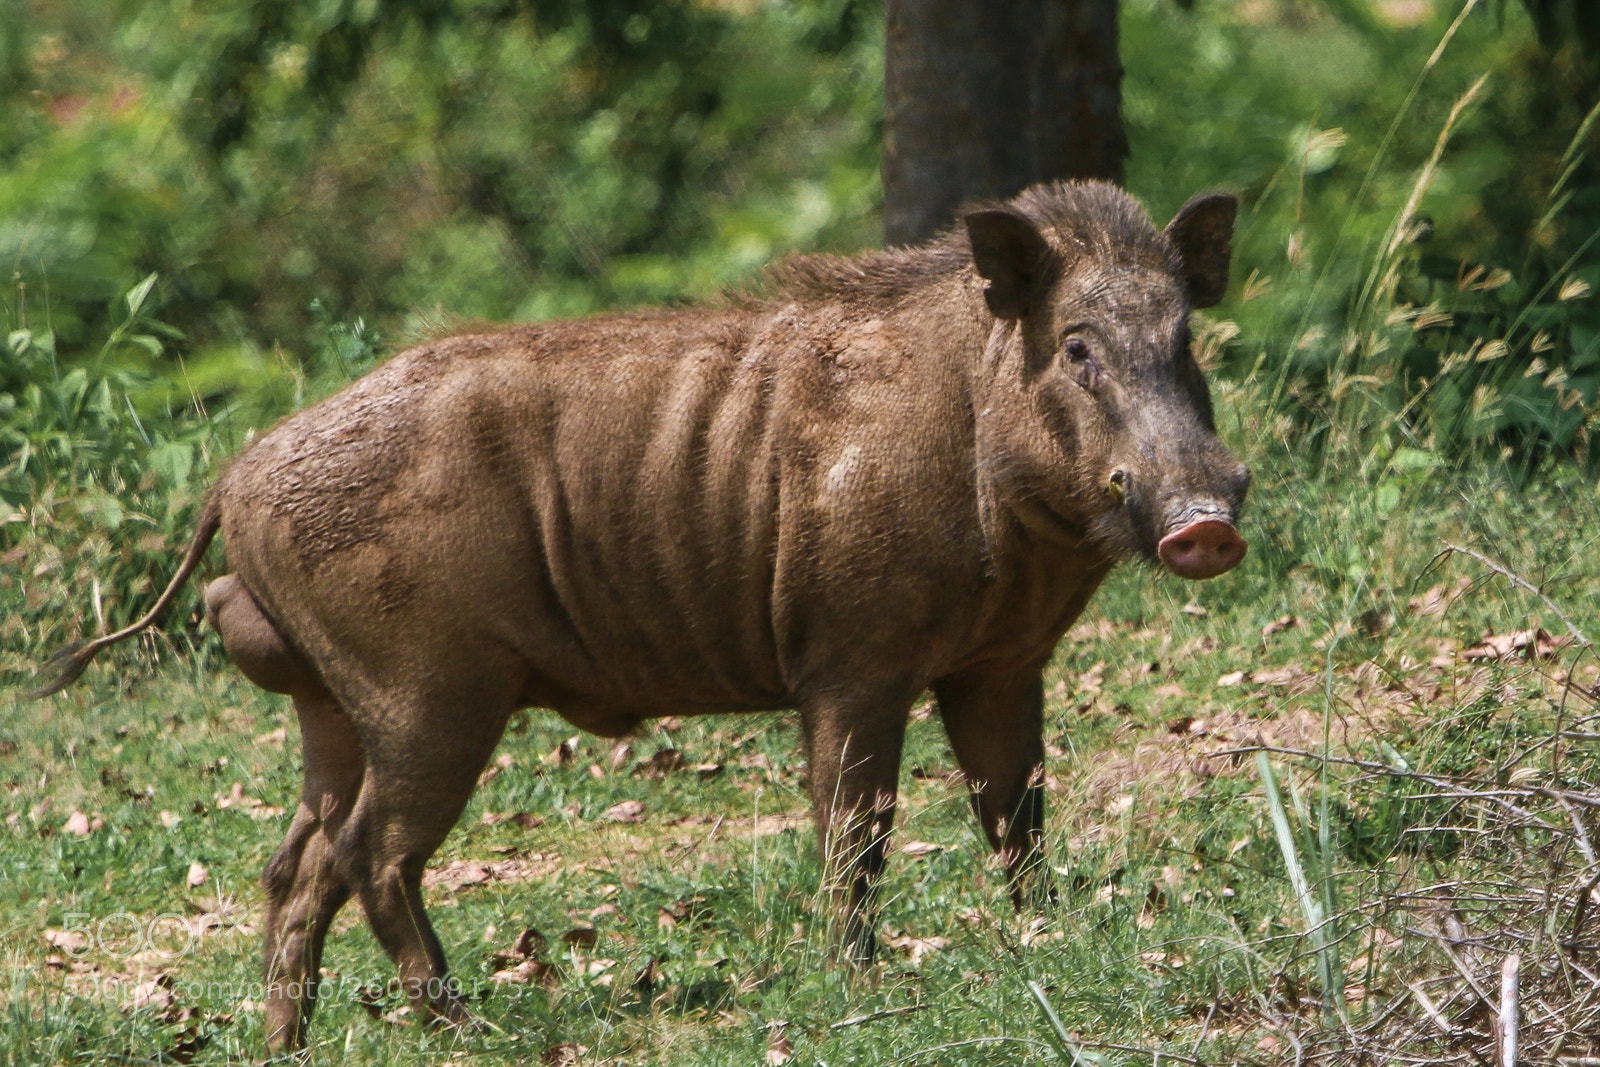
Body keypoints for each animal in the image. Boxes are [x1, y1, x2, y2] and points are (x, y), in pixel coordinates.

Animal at [35, 180, 1249, 1051]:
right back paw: (465, 1022)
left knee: (296, 864)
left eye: (1185, 340)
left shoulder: (999, 662)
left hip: (331, 708)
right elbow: (856, 826)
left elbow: (1017, 811)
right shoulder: (849, 658)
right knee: (371, 850)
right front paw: (855, 979)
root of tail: (232, 482)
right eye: (1078, 346)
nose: (1206, 520)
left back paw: (288, 1039)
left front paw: (1045, 935)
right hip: (424, 690)